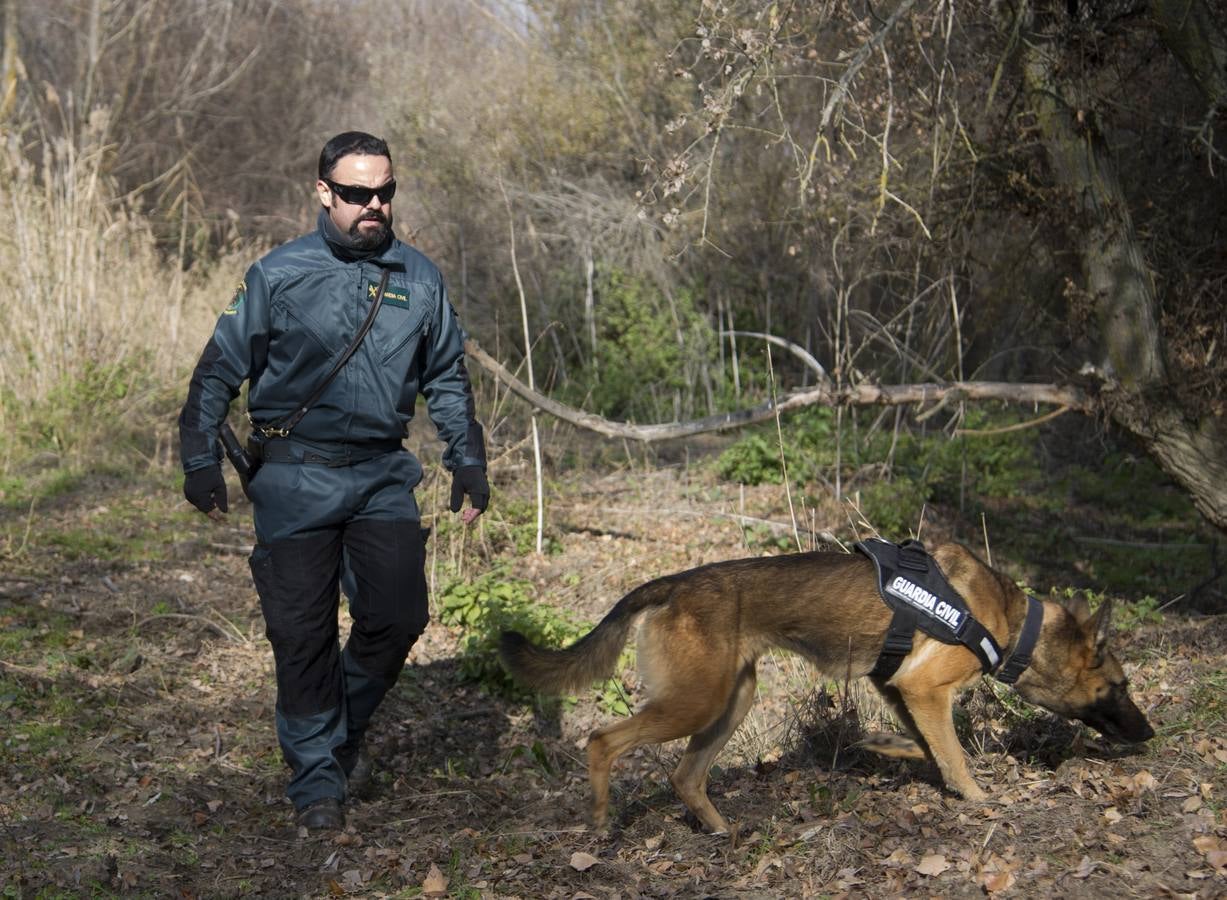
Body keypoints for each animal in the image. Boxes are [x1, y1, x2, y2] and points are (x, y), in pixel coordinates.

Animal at [495, 540, 1148, 830]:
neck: (1012, 622)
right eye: (1118, 687)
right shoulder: (925, 690)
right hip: (694, 703)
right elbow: (955, 755)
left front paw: (886, 748)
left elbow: (929, 746)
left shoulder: (900, 690)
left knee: (685, 776)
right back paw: (600, 818)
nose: (1149, 734)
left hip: (731, 702)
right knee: (602, 741)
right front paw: (981, 799)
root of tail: (673, 583)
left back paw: (720, 830)